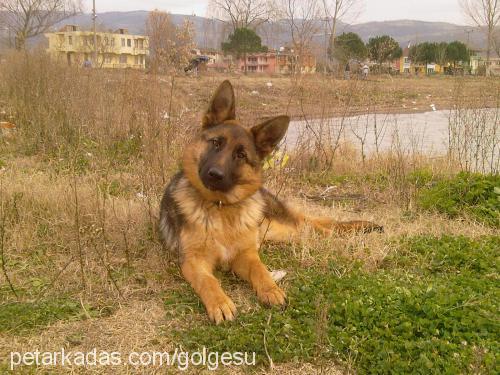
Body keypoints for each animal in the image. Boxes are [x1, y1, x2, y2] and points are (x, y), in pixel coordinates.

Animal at [160, 81, 382, 324]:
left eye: (241, 155)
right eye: (216, 143)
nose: (214, 175)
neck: (220, 208)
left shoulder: (246, 254)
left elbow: (259, 269)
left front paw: (270, 289)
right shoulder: (193, 262)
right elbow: (208, 281)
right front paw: (220, 303)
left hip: (284, 228)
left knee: (318, 228)